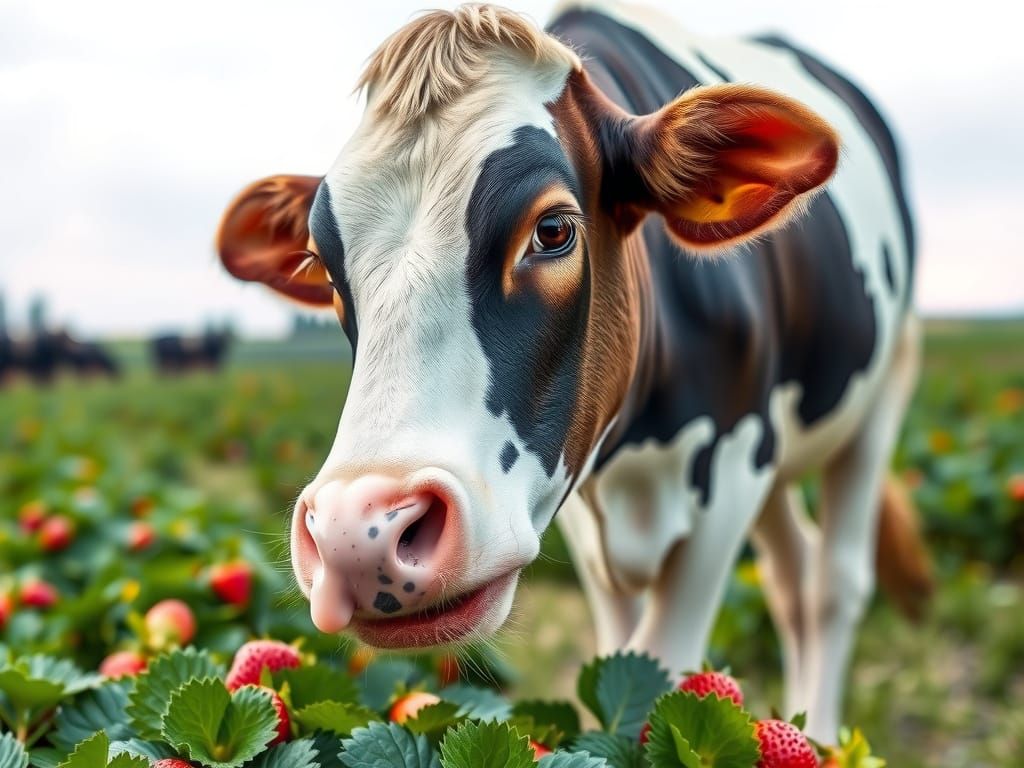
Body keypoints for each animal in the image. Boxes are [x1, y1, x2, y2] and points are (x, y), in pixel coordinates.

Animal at [214, 1, 931, 739]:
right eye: (324, 265)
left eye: (553, 230)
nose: (355, 535)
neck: (639, 448)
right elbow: (625, 654)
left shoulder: (732, 469)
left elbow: (664, 666)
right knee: (792, 577)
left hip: (885, 385)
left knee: (833, 584)